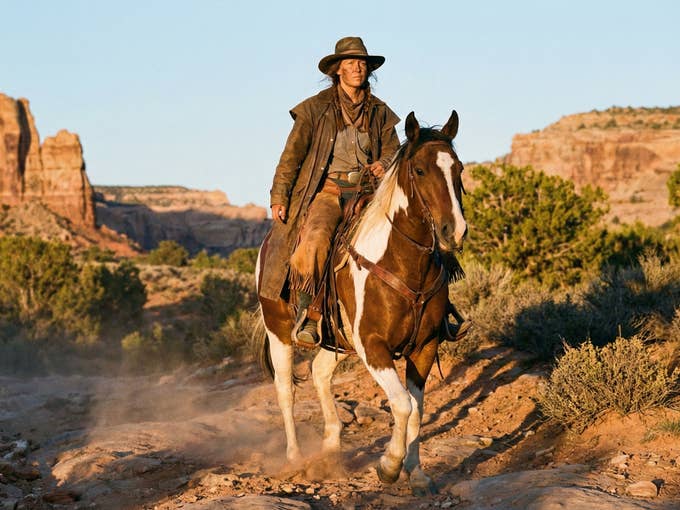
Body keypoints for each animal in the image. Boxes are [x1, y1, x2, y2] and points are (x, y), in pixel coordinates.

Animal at [255, 110, 467, 496]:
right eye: (419, 170)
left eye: (458, 168)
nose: (454, 231)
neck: (402, 262)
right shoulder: (373, 346)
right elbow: (401, 404)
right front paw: (389, 466)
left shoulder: (425, 347)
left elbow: (417, 410)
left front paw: (417, 473)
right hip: (278, 332)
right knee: (285, 390)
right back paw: (295, 457)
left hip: (337, 341)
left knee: (319, 372)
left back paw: (331, 448)